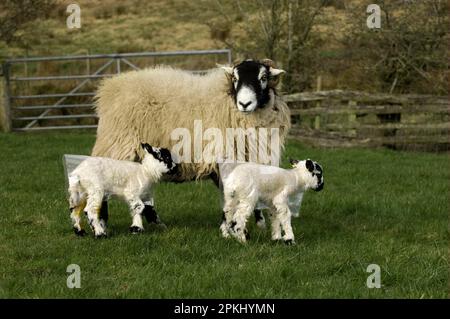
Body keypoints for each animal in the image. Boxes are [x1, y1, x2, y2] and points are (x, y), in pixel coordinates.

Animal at [91, 59, 292, 230]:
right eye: (235, 78)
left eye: (263, 78)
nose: (244, 103)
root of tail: (110, 88)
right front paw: (228, 225)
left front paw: (259, 222)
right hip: (117, 145)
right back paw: (101, 223)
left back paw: (156, 223)